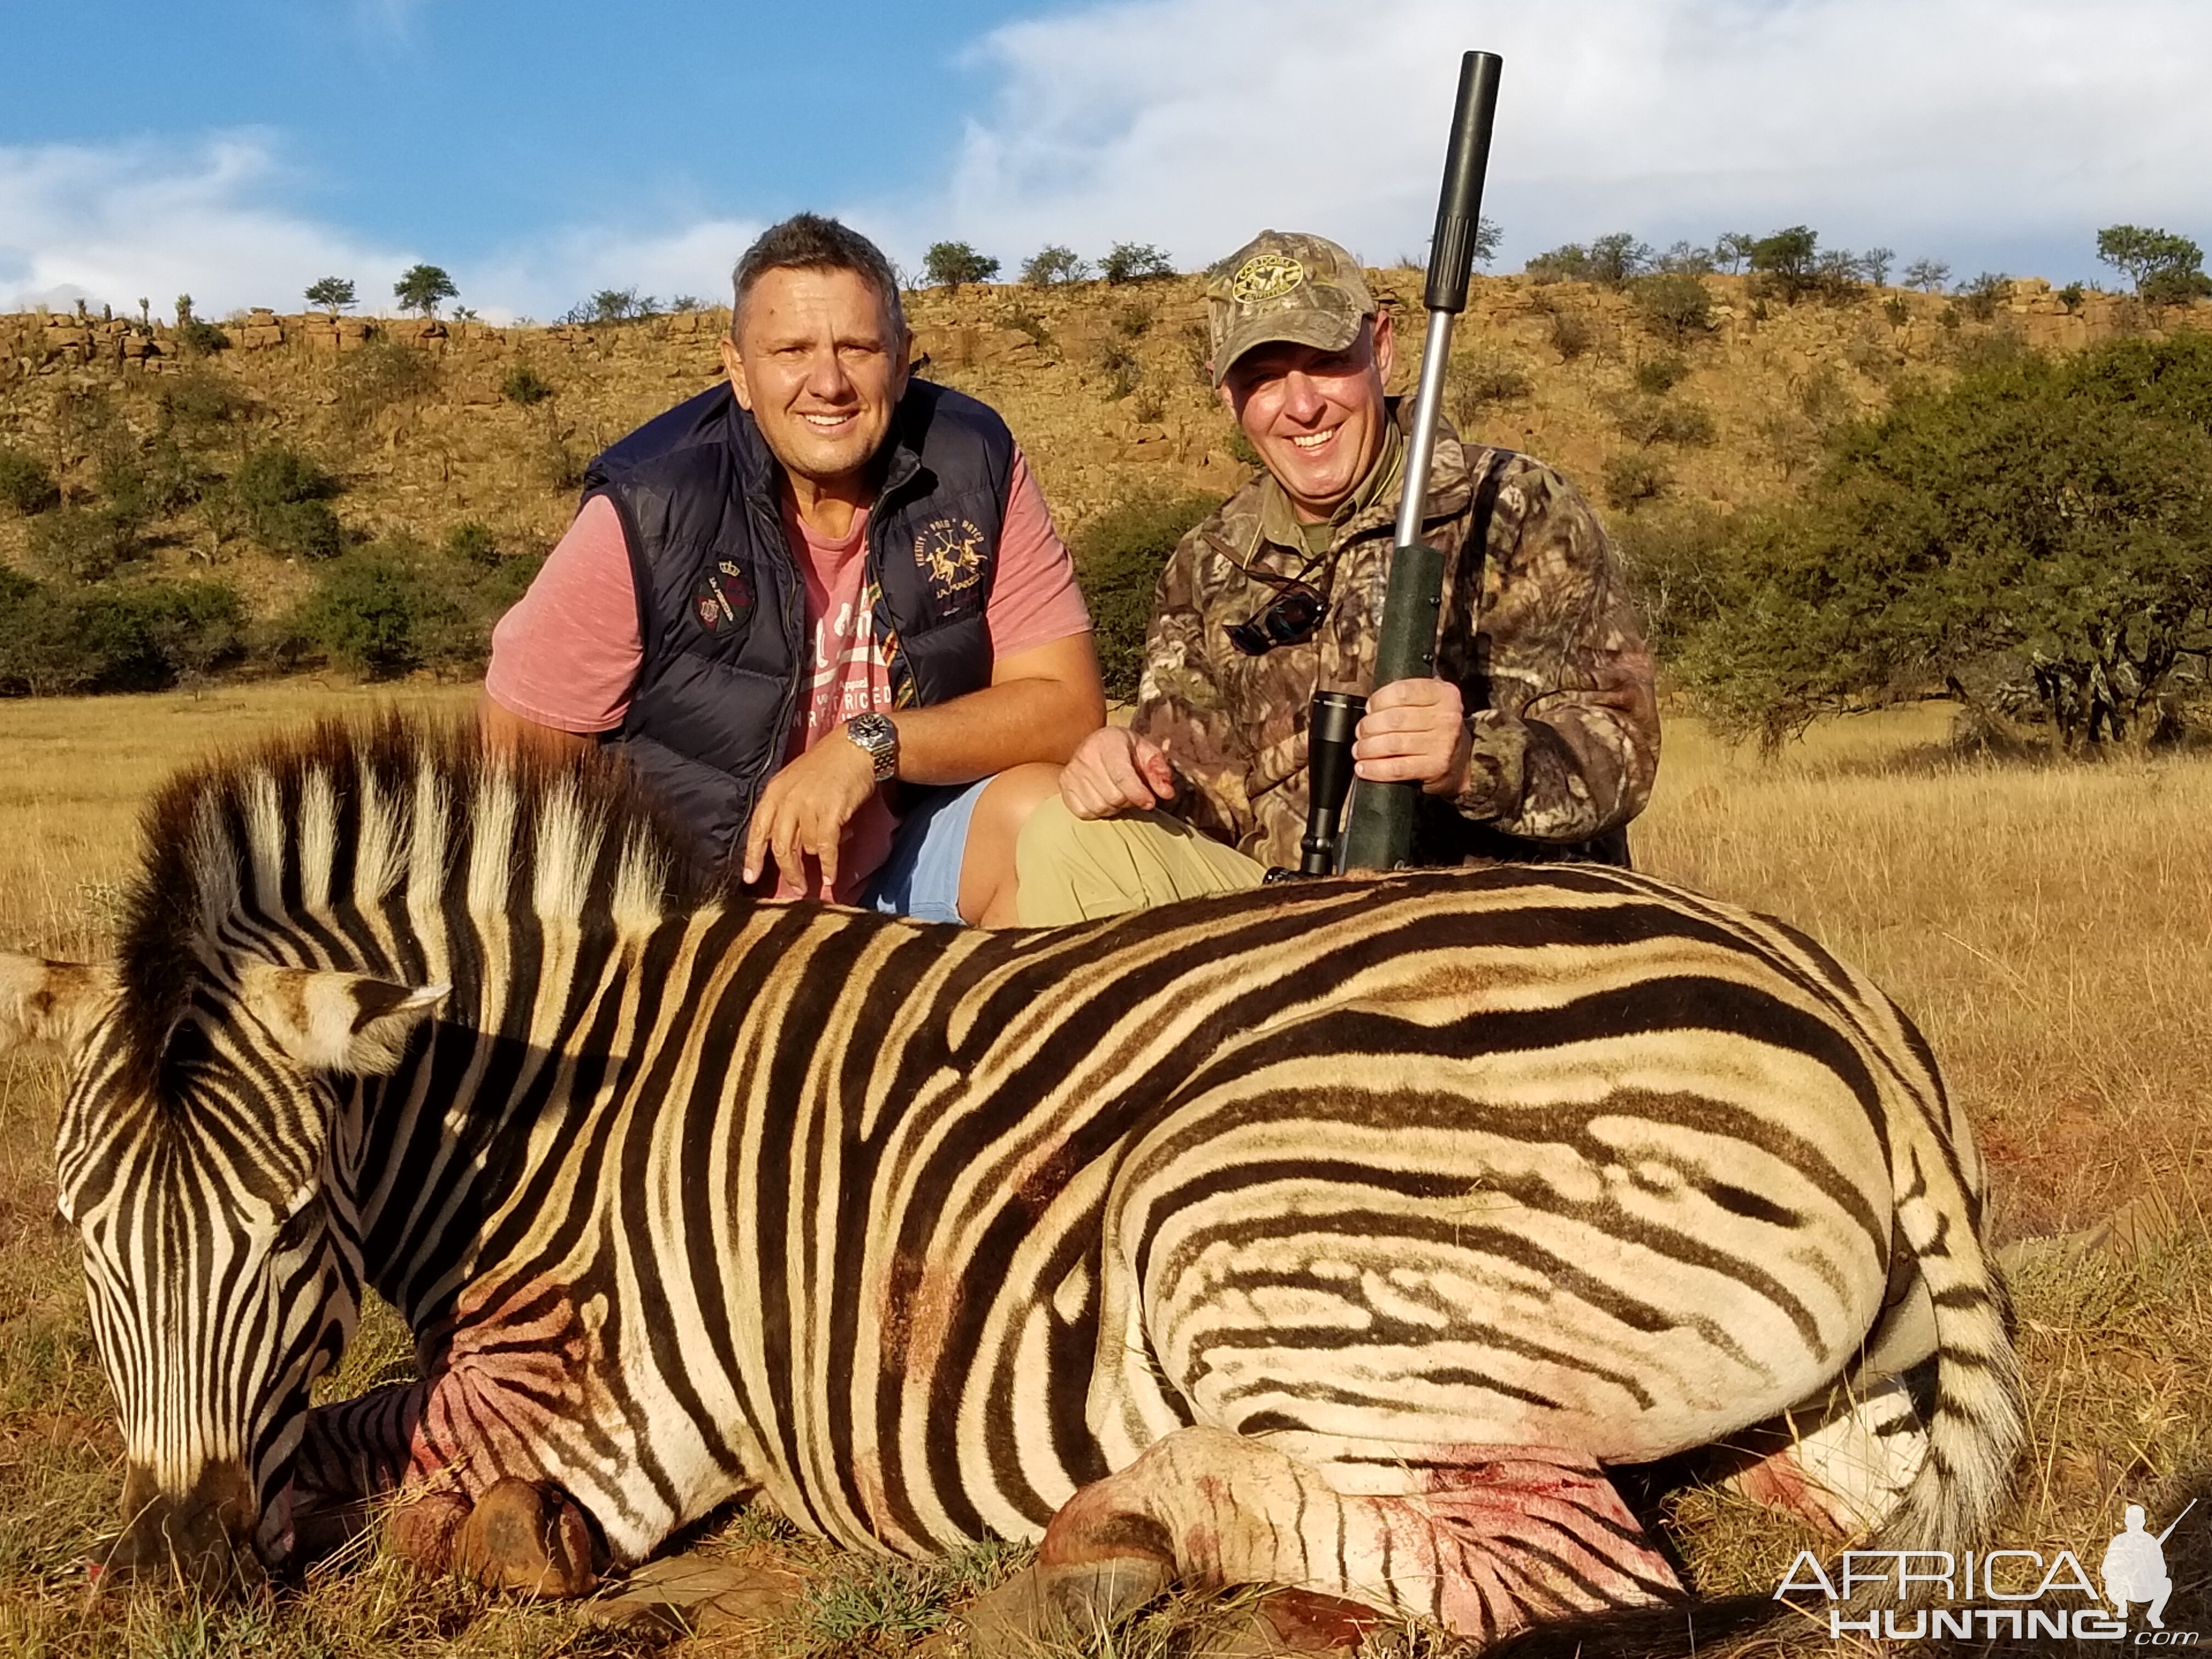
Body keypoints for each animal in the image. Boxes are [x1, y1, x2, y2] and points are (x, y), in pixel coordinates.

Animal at [0, 725, 2026, 1654]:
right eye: (82, 1237)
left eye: (289, 1235)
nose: (178, 1585)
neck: (542, 1096)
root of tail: (1836, 1000)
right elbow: (325, 1441)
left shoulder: (608, 1408)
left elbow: (395, 1472)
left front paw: (466, 1540)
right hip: (1812, 1408)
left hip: (1244, 1219)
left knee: (1558, 1567)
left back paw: (1131, 1531)